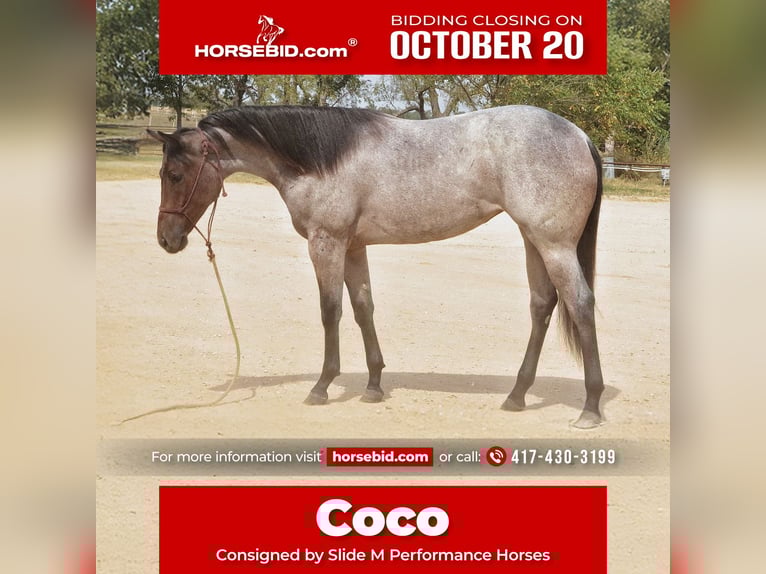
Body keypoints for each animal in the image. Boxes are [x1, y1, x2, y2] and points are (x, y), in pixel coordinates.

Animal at [147, 105, 605, 428]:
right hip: (533, 240)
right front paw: (372, 385)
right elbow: (363, 308)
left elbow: (330, 311)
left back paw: (590, 407)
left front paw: (322, 386)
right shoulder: (353, 248)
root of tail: (580, 135)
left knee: (580, 304)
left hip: (554, 244)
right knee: (542, 305)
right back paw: (516, 395)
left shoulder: (327, 243)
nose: (166, 240)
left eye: (175, 174)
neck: (319, 159)